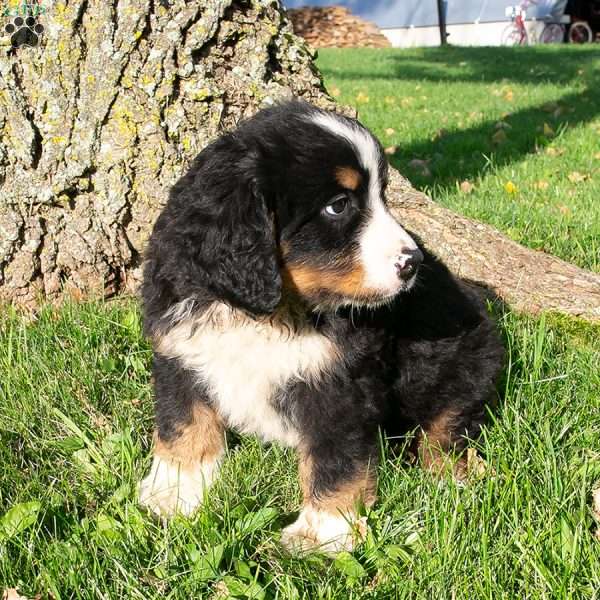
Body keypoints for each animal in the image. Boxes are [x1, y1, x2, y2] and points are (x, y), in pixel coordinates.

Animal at [138, 99, 504, 552]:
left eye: (381, 196)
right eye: (338, 205)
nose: (413, 262)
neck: (271, 312)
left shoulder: (341, 383)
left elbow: (336, 458)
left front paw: (324, 532)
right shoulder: (182, 352)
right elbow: (183, 424)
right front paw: (173, 491)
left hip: (466, 358)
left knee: (448, 422)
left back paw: (455, 472)